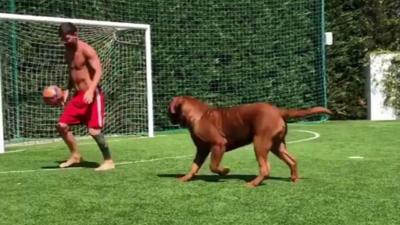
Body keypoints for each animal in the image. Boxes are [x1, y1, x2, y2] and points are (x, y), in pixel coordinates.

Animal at [169, 96, 332, 187]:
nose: (168, 118)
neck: (198, 115)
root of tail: (279, 111)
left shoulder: (218, 144)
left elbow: (213, 166)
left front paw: (225, 171)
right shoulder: (201, 150)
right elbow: (194, 166)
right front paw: (185, 178)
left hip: (260, 143)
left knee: (265, 168)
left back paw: (253, 183)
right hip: (277, 146)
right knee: (292, 160)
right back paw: (294, 178)